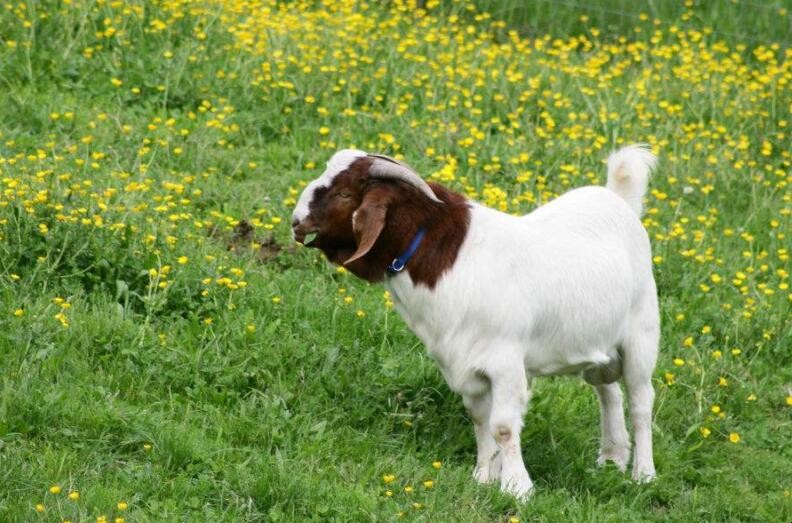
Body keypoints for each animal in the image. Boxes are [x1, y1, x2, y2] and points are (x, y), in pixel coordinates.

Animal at [290, 146, 664, 500]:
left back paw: (643, 474)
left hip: (642, 334)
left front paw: (517, 487)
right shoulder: (464, 363)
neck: (450, 259)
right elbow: (480, 420)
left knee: (640, 402)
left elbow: (503, 426)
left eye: (344, 194)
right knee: (608, 390)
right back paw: (612, 458)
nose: (295, 221)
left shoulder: (506, 361)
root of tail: (618, 200)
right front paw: (484, 477)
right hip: (596, 343)